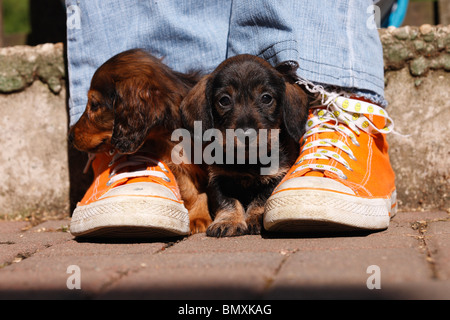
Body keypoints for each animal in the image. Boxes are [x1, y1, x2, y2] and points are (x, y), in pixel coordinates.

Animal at [180, 53, 310, 236]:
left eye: (266, 98)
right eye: (224, 100)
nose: (246, 135)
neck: (247, 161)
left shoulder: (278, 175)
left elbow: (261, 199)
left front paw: (256, 218)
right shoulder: (218, 178)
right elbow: (228, 201)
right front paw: (228, 220)